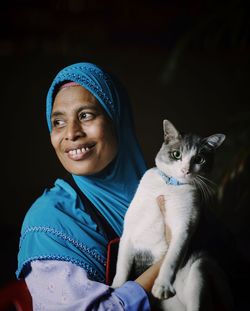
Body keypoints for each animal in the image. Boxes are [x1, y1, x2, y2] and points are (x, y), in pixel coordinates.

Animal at [112, 120, 233, 311]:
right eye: (176, 154)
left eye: (199, 159)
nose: (185, 170)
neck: (170, 186)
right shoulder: (129, 231)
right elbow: (122, 266)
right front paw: (115, 288)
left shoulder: (184, 228)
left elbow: (172, 258)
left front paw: (163, 285)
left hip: (201, 265)